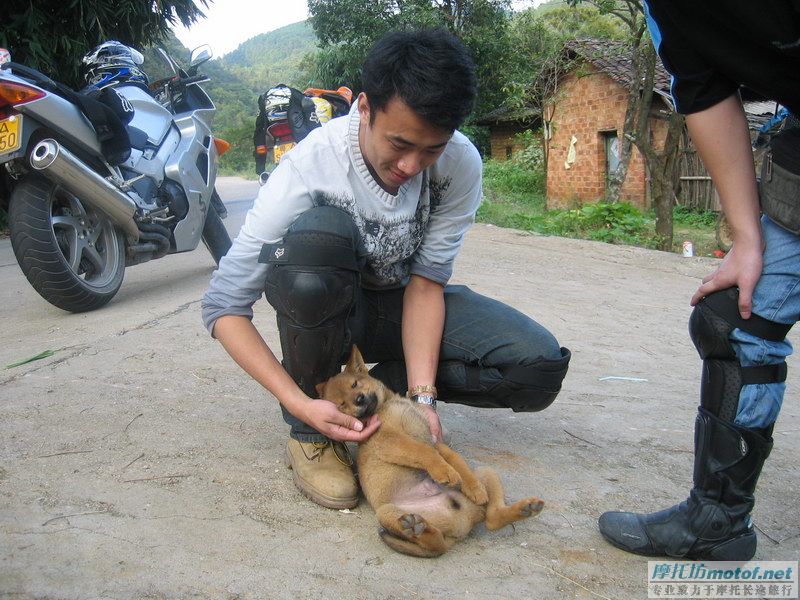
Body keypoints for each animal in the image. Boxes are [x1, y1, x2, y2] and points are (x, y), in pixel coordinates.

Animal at [316, 344, 548, 560]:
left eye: (355, 384)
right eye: (341, 405)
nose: (358, 400)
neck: (387, 405)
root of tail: (461, 526)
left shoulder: (434, 440)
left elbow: (455, 459)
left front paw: (472, 487)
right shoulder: (391, 441)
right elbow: (423, 451)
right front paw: (445, 472)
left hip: (486, 471)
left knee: (489, 520)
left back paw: (524, 508)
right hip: (386, 511)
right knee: (437, 545)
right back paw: (417, 527)